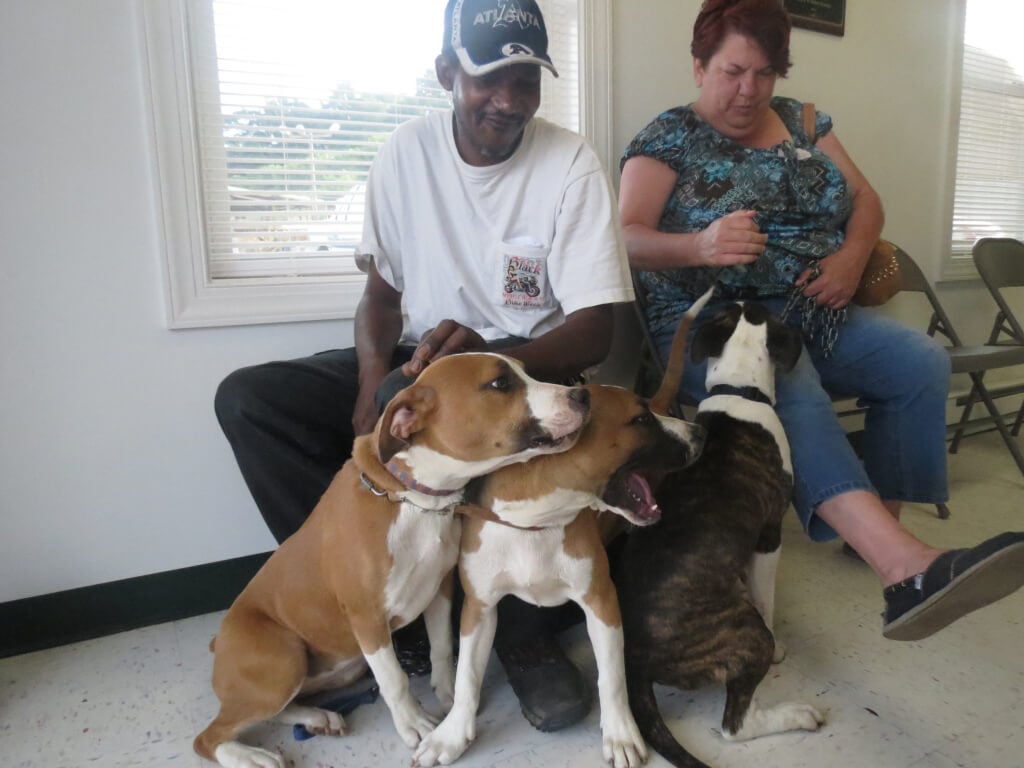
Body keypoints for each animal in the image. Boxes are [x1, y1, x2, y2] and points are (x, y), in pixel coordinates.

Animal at [194, 354, 589, 768]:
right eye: (499, 383)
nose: (581, 395)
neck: (414, 499)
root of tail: (218, 642)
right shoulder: (367, 618)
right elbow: (394, 680)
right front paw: (414, 722)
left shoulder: (439, 589)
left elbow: (442, 647)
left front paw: (448, 696)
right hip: (283, 660)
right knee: (210, 736)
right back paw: (250, 756)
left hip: (328, 671)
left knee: (279, 709)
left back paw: (315, 716)